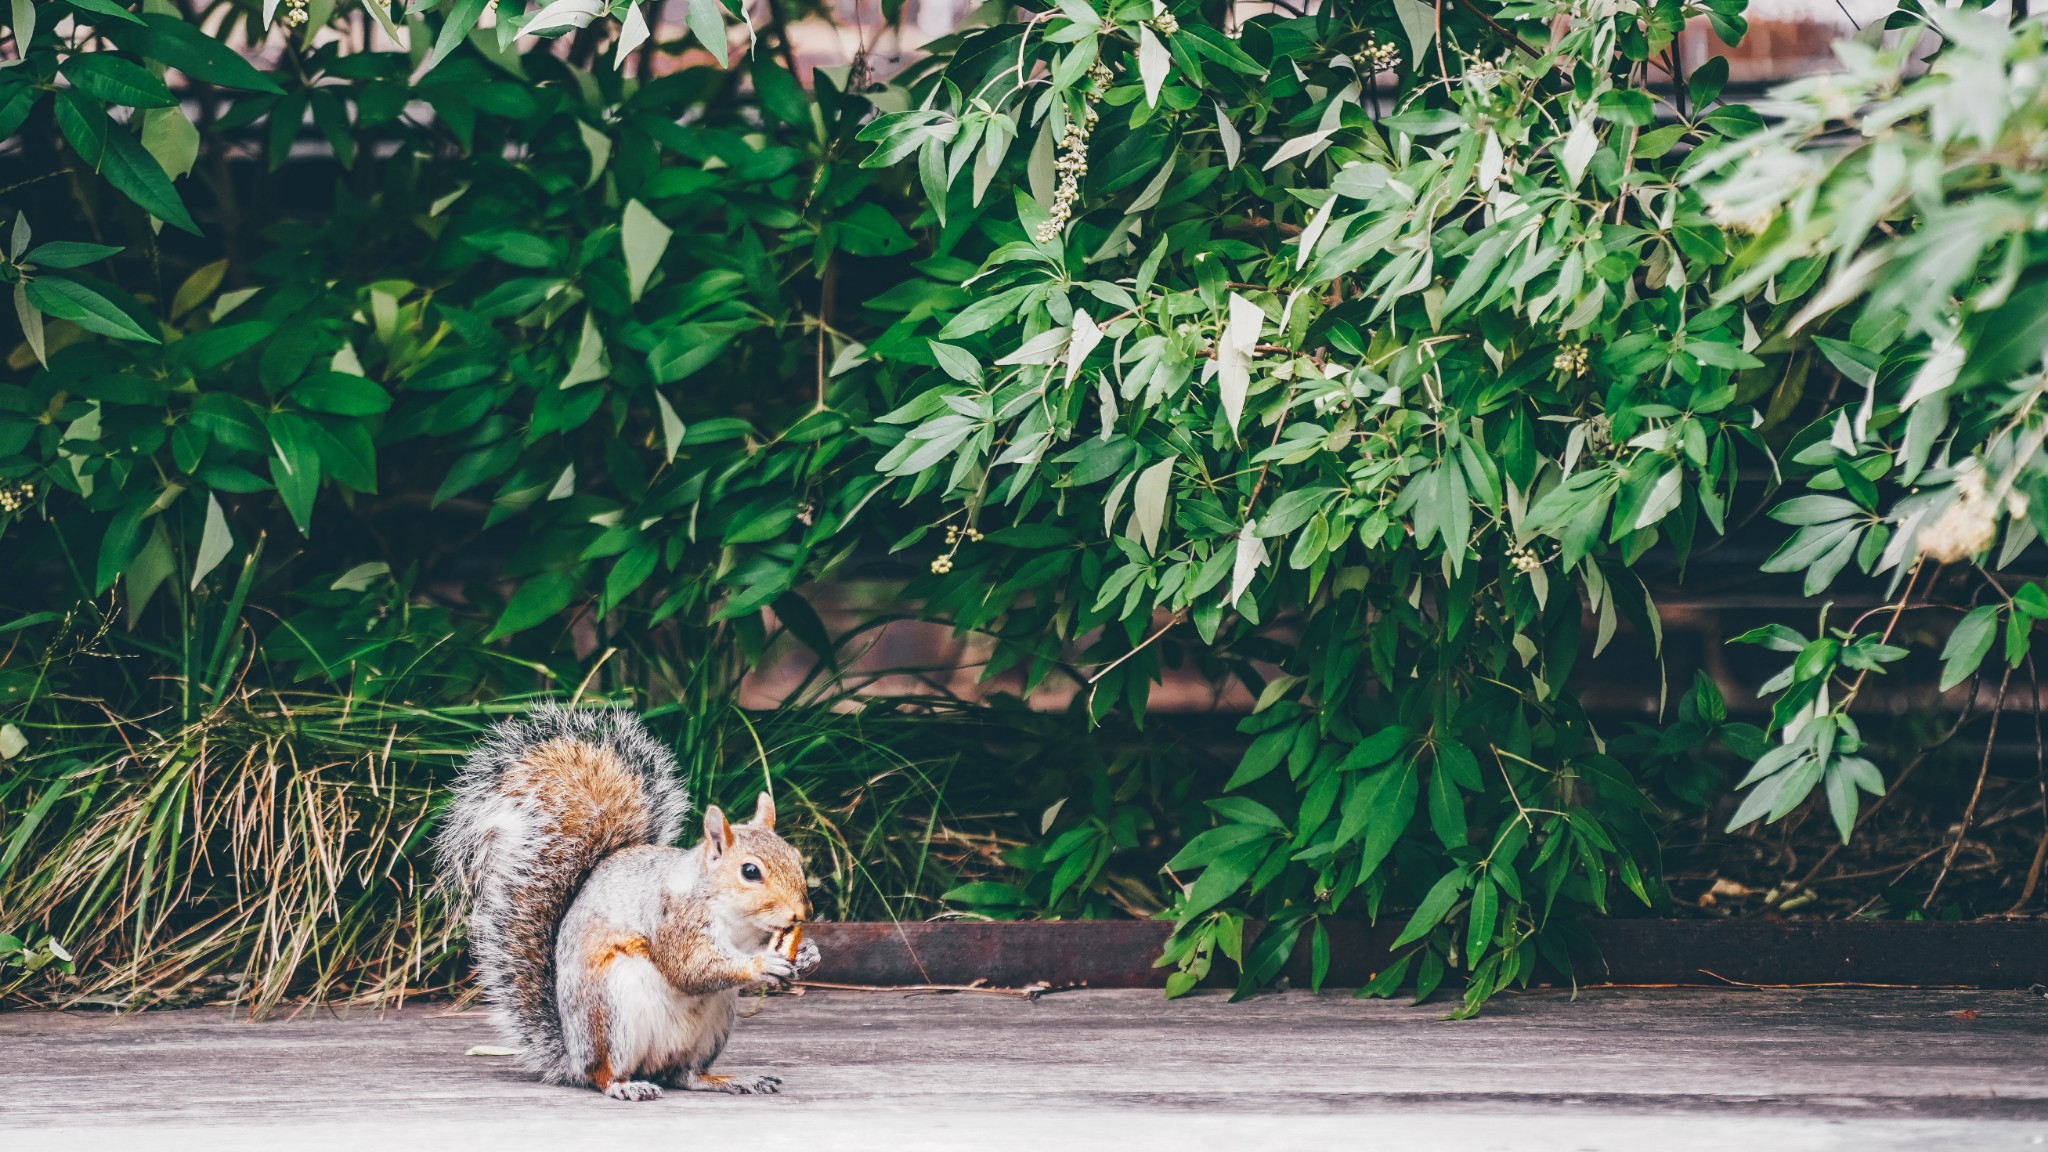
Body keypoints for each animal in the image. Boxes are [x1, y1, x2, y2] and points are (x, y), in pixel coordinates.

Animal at [436, 705, 819, 1098]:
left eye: (794, 855)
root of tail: (573, 1056)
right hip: (612, 1014)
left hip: (713, 1024)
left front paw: (808, 954)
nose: (803, 913)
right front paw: (762, 964)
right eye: (750, 871)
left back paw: (730, 1079)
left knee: (686, 1075)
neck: (735, 919)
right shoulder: (672, 919)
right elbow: (691, 968)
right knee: (604, 1073)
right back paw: (624, 1086)